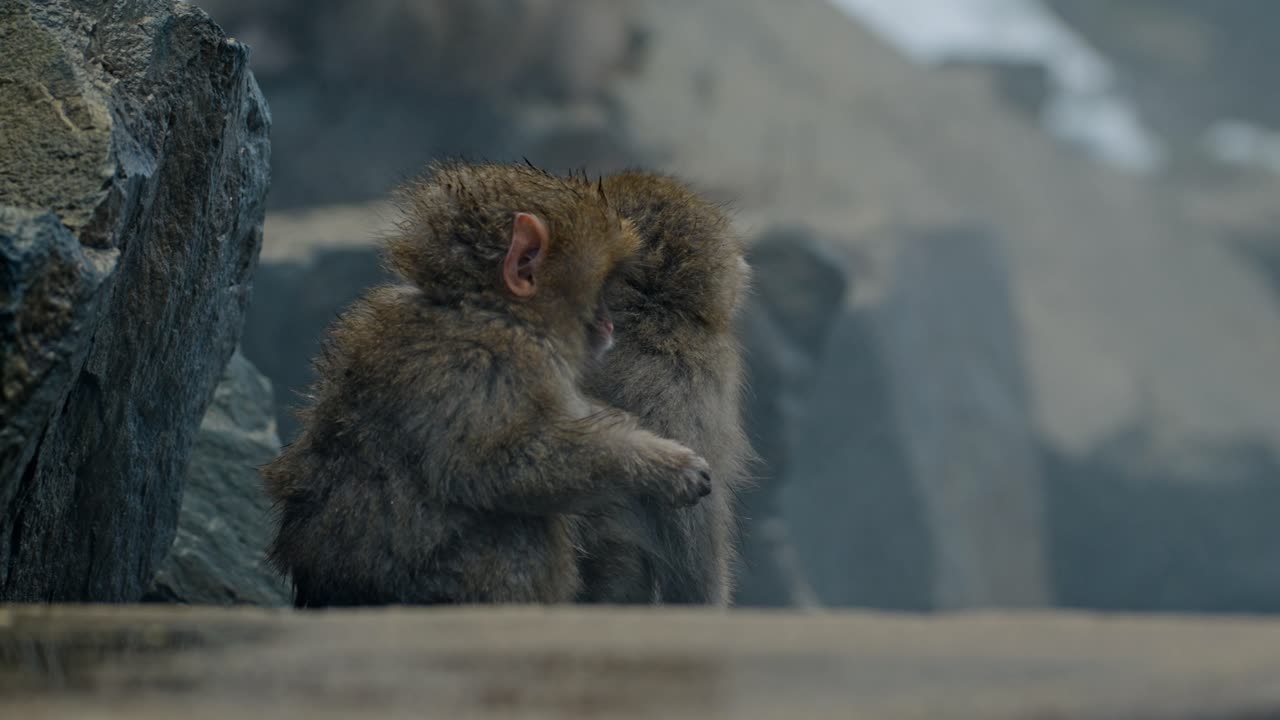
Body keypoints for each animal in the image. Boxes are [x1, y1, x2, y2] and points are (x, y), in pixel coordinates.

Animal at [262, 161, 714, 608]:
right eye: (600, 287)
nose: (608, 322)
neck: (481, 305)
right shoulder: (493, 360)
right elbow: (493, 465)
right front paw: (661, 467)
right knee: (518, 526)